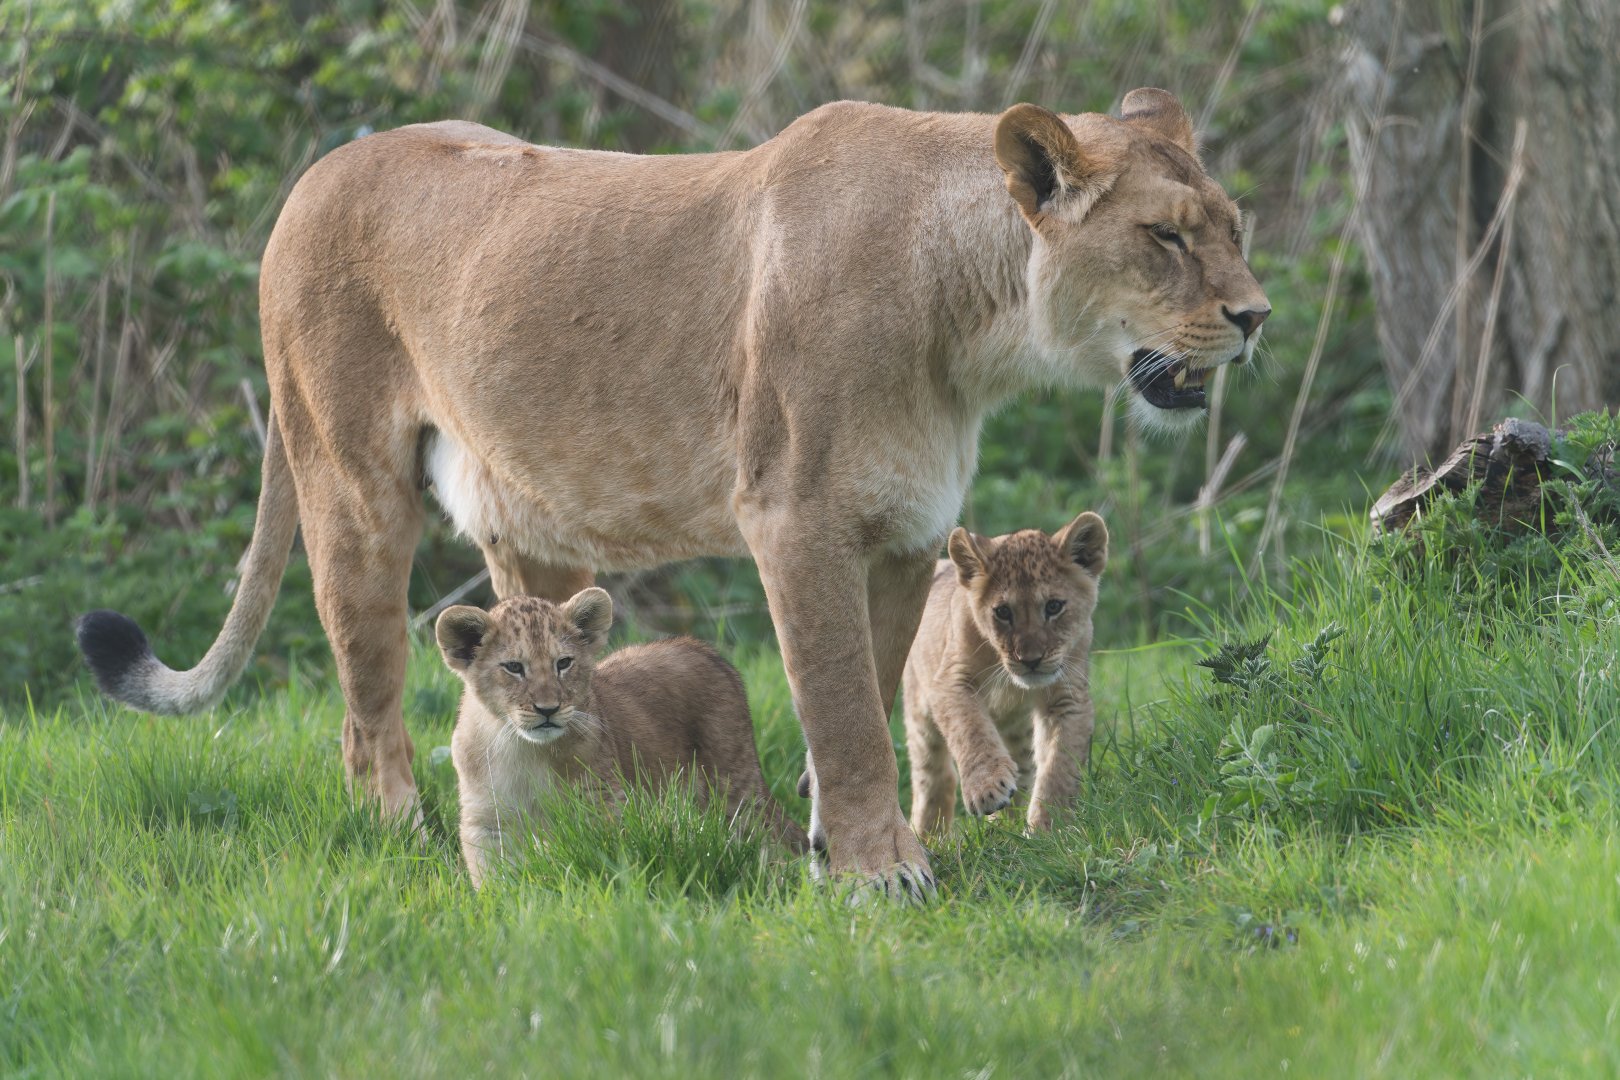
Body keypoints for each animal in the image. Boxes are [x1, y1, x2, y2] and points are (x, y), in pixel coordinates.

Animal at [435, 589, 807, 885]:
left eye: (563, 663)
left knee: (771, 835)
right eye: (513, 667)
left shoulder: (602, 803)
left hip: (736, 787)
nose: (548, 709)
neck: (522, 749)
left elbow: (600, 858)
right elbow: (494, 877)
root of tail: (705, 650)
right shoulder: (487, 819)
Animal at [902, 513, 1108, 836]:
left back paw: (1004, 828)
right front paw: (986, 788)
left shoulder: (1067, 696)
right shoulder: (951, 680)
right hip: (918, 710)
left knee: (1023, 771)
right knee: (933, 777)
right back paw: (928, 836)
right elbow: (970, 729)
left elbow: (1060, 764)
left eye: (1054, 606)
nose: (1031, 660)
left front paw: (1049, 830)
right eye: (1002, 612)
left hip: (1017, 731)